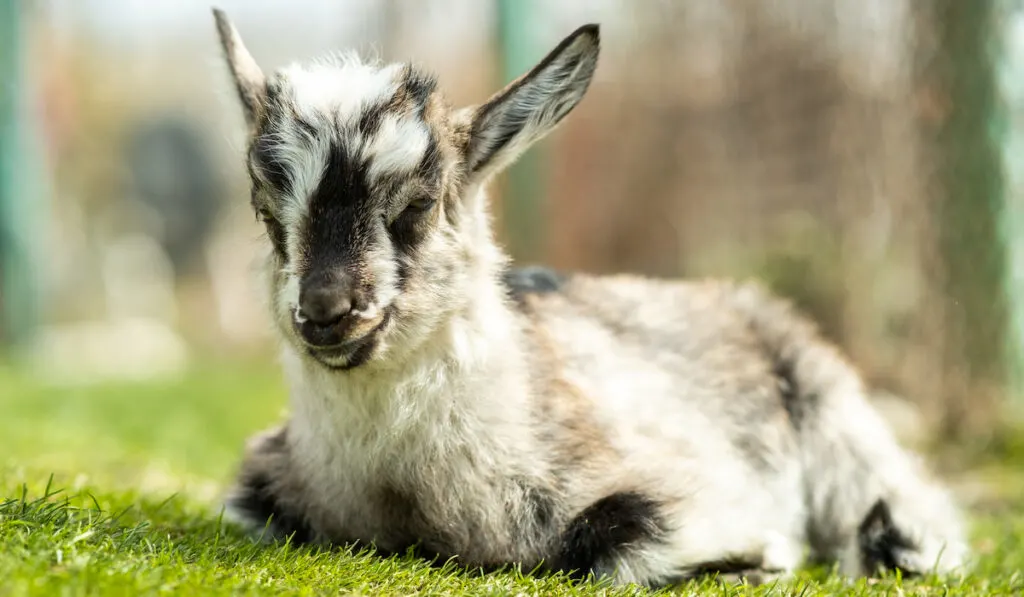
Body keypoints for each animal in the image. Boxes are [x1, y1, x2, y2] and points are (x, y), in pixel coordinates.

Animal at [214, 9, 966, 589]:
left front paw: (760, 557)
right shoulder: (261, 485)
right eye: (267, 215)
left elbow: (620, 542)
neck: (404, 498)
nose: (326, 313)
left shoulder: (678, 488)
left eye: (419, 206)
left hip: (834, 412)